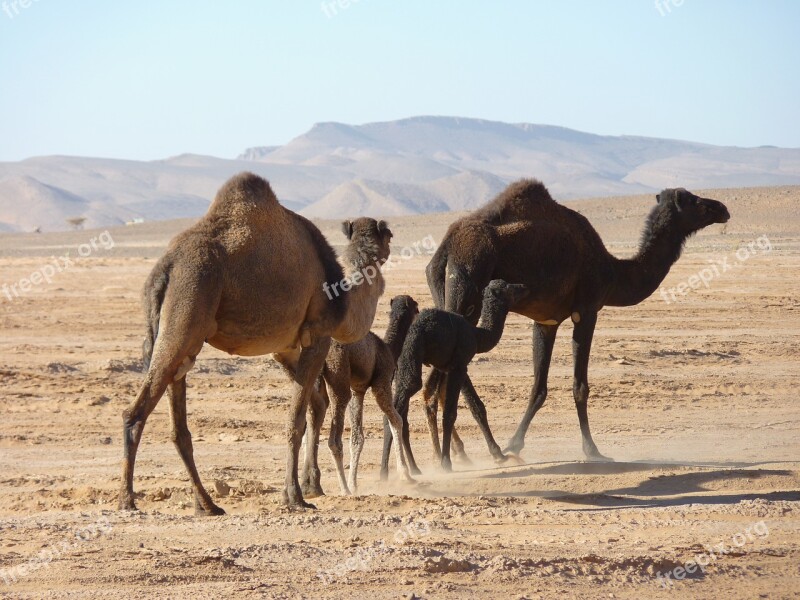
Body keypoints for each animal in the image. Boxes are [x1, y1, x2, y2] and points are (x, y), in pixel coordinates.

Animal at [119, 171, 390, 512]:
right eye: (387, 235)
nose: (382, 252)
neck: (343, 298)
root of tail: (165, 267)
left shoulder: (285, 347)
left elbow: (315, 406)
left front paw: (311, 486)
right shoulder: (319, 334)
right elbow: (296, 419)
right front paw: (295, 497)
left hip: (175, 333)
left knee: (178, 425)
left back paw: (207, 504)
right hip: (187, 305)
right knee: (136, 411)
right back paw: (127, 499)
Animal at [322, 292, 418, 494]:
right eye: (416, 307)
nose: (418, 313)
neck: (389, 349)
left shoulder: (357, 390)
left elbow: (357, 437)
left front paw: (354, 483)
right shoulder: (381, 382)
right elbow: (396, 420)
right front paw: (406, 476)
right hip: (338, 376)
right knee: (334, 438)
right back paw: (343, 489)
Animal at [382, 280, 528, 474]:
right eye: (509, 288)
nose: (523, 287)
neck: (477, 335)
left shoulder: (448, 366)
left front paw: (500, 455)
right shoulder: (459, 365)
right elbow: (452, 413)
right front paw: (446, 462)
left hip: (402, 365)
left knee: (397, 413)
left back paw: (403, 470)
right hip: (411, 358)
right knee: (405, 397)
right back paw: (393, 471)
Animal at [424, 180, 732, 462]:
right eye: (692, 200)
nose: (722, 208)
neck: (613, 271)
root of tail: (446, 247)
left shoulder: (546, 321)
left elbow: (539, 388)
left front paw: (516, 443)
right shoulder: (587, 310)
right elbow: (580, 386)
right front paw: (592, 450)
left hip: (442, 290)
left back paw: (461, 451)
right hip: (469, 282)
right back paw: (490, 449)